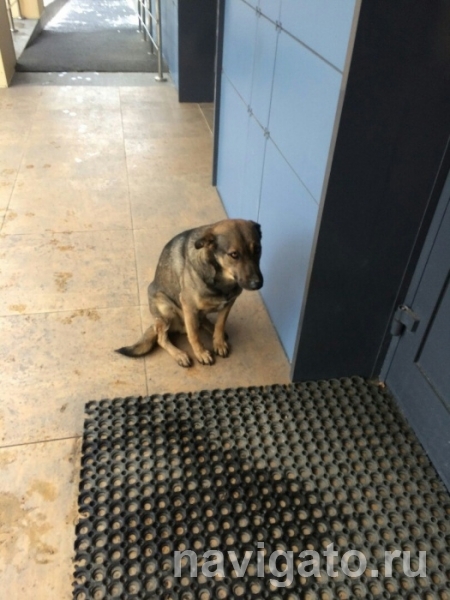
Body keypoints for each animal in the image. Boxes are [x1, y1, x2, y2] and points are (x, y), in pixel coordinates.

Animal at [116, 219, 263, 367]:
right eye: (234, 254)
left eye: (257, 249)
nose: (257, 284)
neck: (221, 279)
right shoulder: (189, 307)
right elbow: (193, 335)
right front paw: (201, 353)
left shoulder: (229, 303)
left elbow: (220, 324)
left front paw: (219, 342)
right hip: (165, 308)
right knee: (162, 338)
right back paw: (179, 354)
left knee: (202, 321)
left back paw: (210, 328)